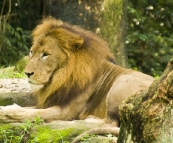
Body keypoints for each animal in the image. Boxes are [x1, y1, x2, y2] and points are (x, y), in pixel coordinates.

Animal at [0, 17, 153, 139]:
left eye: (45, 54)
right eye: (31, 52)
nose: (27, 73)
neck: (60, 78)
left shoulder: (67, 110)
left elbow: (32, 113)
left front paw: (6, 112)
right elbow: (30, 108)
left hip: (122, 81)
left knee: (113, 122)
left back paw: (86, 120)